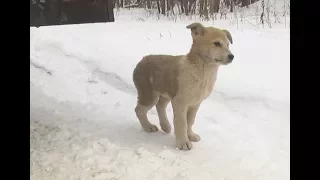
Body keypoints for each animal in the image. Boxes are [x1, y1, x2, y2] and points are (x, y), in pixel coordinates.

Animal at [131, 23, 234, 151]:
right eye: (217, 43)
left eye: (228, 44)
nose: (232, 56)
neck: (203, 72)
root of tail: (142, 60)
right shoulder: (180, 102)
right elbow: (182, 122)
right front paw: (183, 142)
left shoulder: (195, 103)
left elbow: (190, 121)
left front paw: (190, 135)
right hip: (149, 94)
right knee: (139, 110)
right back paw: (148, 127)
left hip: (167, 93)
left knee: (160, 106)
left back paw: (165, 126)